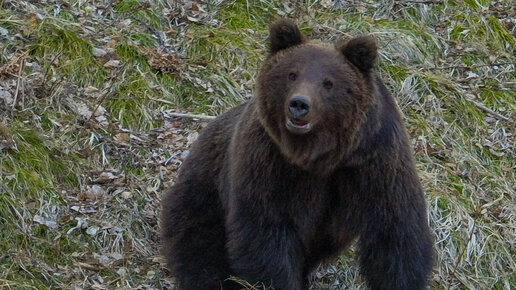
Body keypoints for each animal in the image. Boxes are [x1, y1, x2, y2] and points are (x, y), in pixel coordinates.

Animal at [160, 18, 432, 290]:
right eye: (292, 74)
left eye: (328, 82)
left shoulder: (374, 163)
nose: (299, 104)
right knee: (200, 244)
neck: (320, 156)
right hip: (206, 192)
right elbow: (266, 231)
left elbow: (395, 234)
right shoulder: (270, 162)